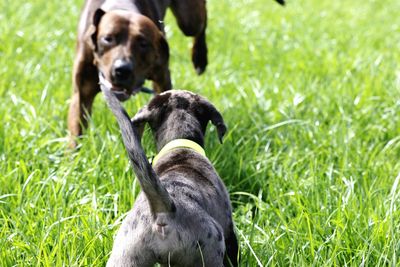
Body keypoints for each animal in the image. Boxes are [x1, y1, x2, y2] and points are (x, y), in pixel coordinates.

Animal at [67, 0, 208, 148]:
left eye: (143, 43)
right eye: (107, 39)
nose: (122, 70)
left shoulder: (162, 78)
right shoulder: (81, 94)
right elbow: (76, 131)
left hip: (189, 21)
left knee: (200, 21)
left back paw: (200, 58)